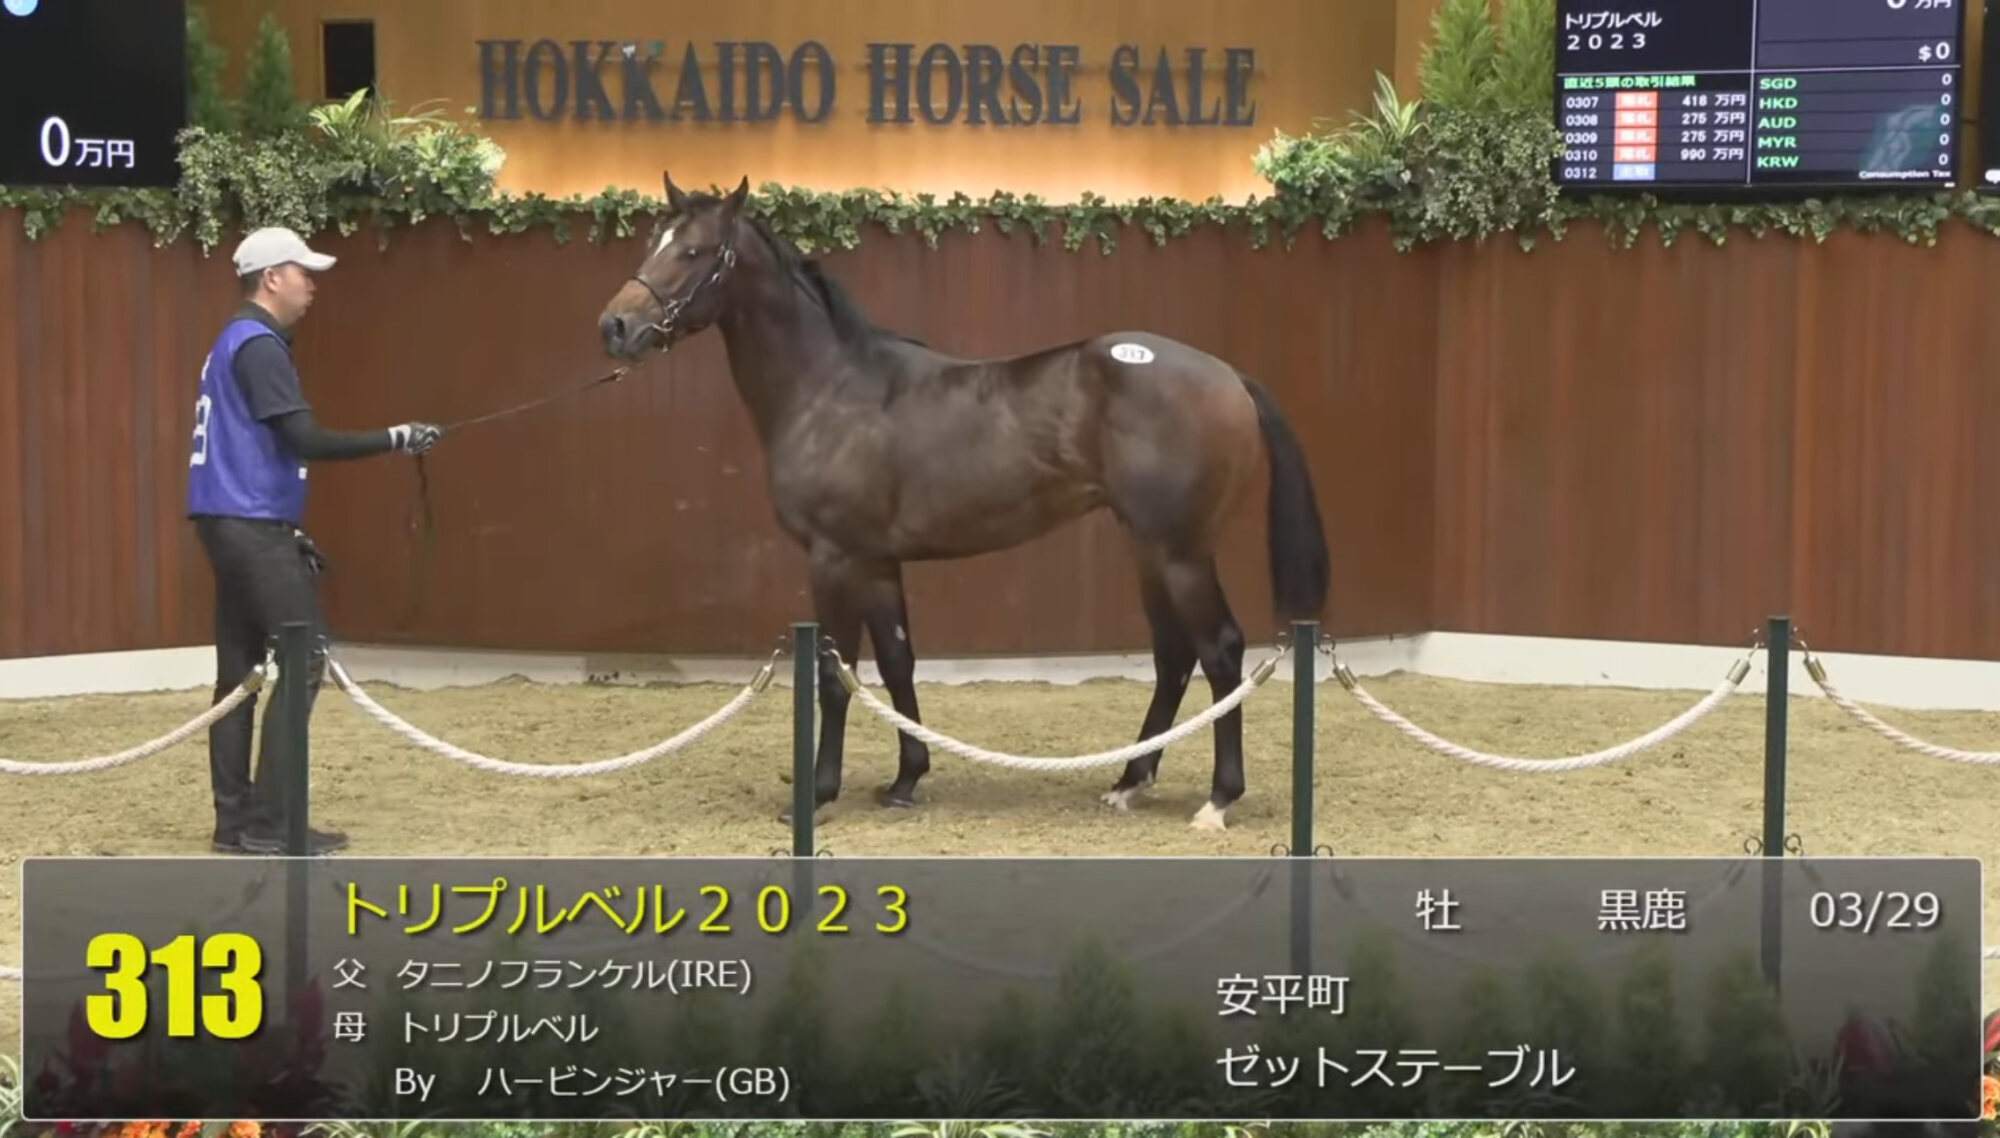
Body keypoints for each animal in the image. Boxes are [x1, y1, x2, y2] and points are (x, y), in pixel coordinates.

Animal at [593, 172, 1331, 831]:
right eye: (654, 241)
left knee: (1221, 651)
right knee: (1175, 655)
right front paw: (905, 780)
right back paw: (1129, 782)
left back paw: (1217, 800)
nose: (616, 325)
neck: (832, 389)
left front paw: (820, 794)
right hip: (1147, 548)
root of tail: (1228, 375)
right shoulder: (877, 562)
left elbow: (836, 675)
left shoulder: (834, 558)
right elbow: (896, 662)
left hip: (1179, 551)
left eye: (693, 251)